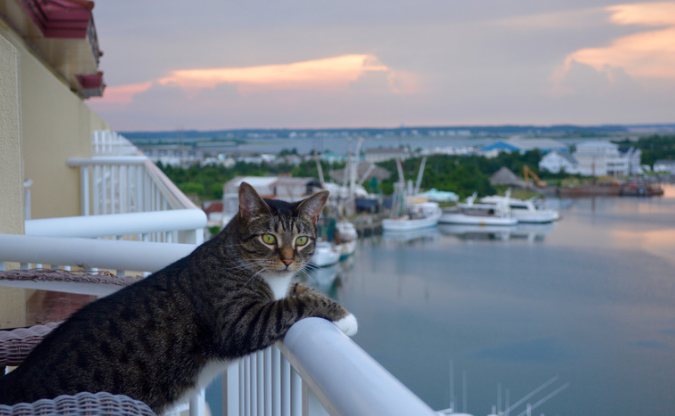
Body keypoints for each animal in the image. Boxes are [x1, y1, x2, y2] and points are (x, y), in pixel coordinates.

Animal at [0, 182, 356, 412]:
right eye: (269, 238)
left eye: (301, 240)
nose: (287, 260)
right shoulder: (239, 321)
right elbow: (293, 303)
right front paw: (345, 318)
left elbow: (298, 290)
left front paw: (343, 313)